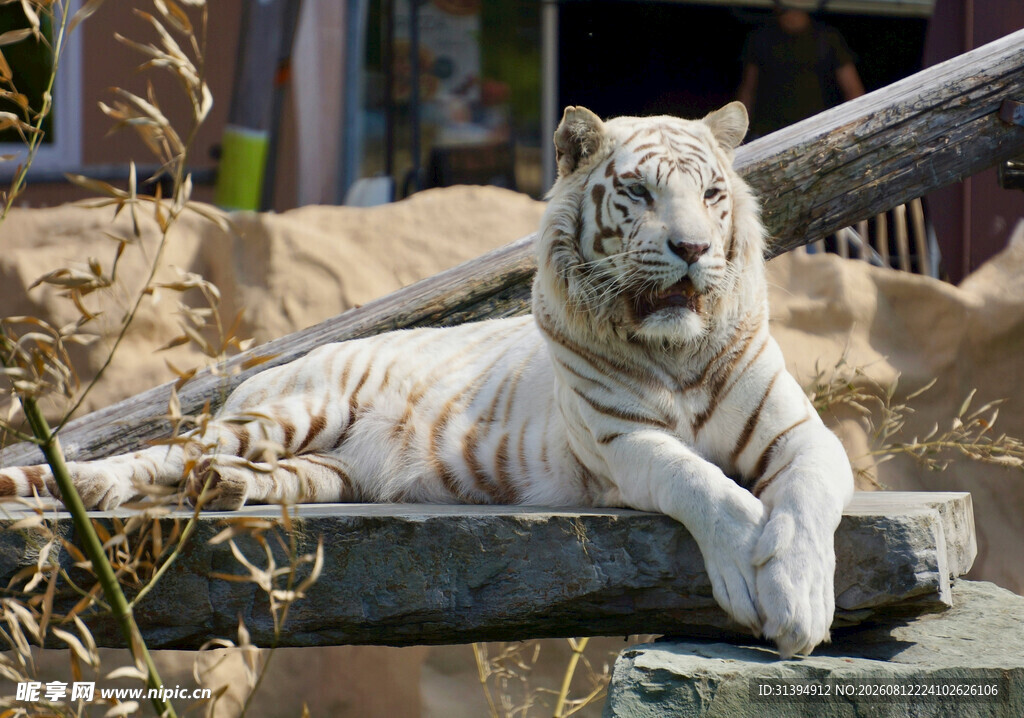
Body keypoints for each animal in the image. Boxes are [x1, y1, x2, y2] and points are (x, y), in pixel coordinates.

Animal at [0, 102, 854, 658]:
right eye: (640, 192)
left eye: (712, 194)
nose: (692, 248)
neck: (677, 353)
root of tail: (265, 373)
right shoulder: (622, 444)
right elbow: (708, 487)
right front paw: (751, 582)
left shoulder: (804, 435)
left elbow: (807, 500)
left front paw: (802, 601)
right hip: (292, 412)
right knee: (164, 454)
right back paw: (103, 486)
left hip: (327, 472)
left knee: (236, 472)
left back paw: (226, 488)